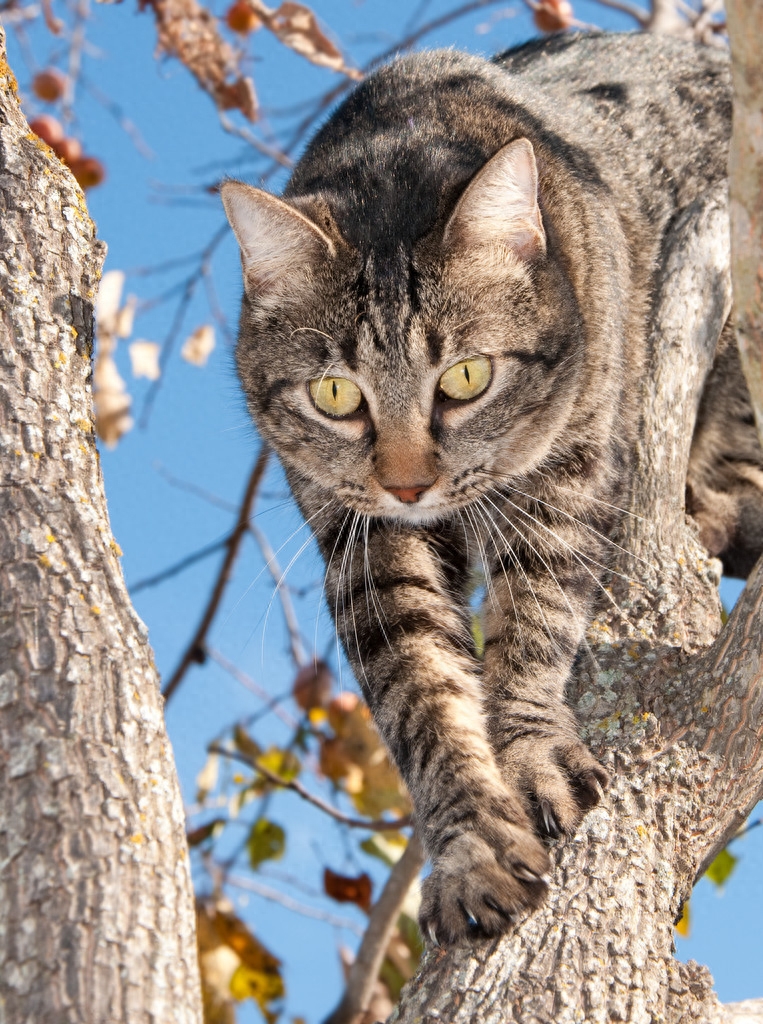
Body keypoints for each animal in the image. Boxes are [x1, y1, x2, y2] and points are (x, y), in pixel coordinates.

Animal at [220, 32, 761, 942]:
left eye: (466, 378)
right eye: (334, 395)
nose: (409, 485)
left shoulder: (567, 474)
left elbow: (534, 621)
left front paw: (530, 751)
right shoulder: (363, 540)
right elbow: (423, 692)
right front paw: (471, 846)